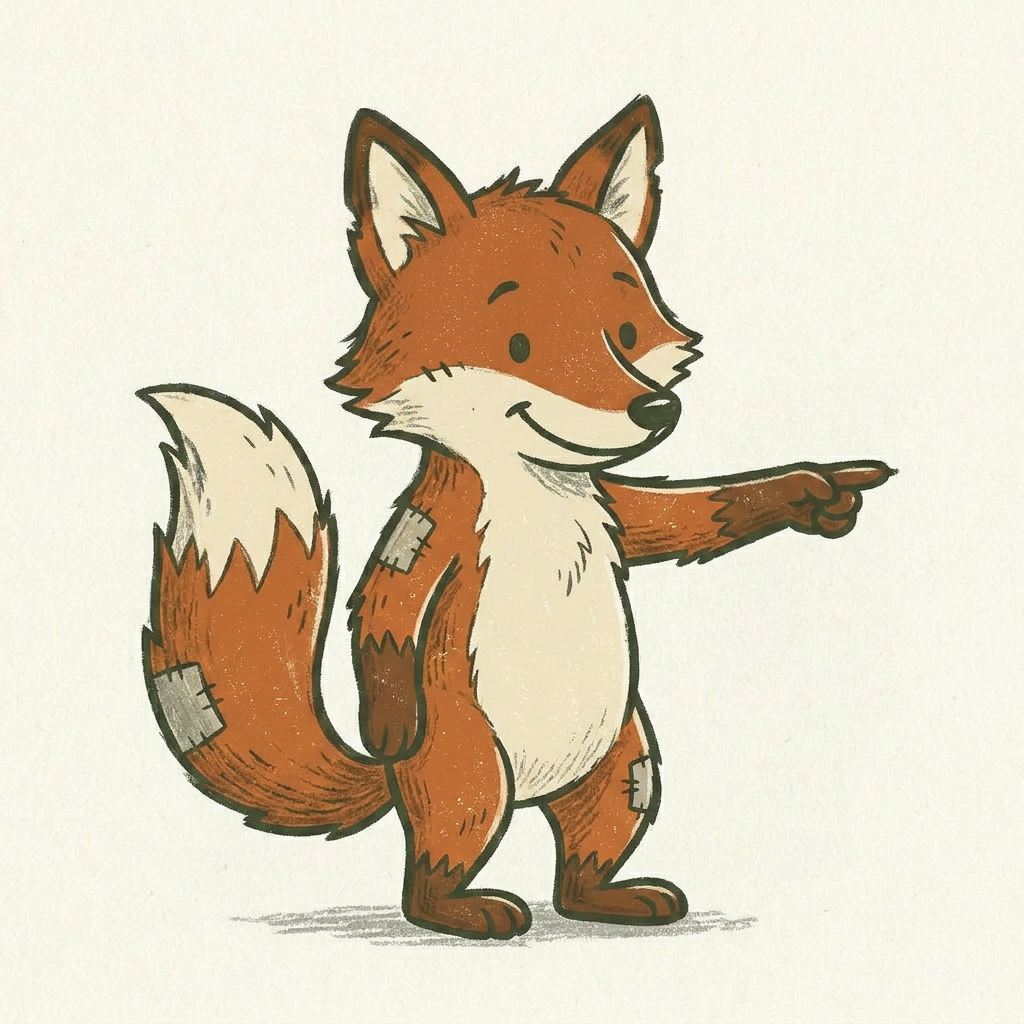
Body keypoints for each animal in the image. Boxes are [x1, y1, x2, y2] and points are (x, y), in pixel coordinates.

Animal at [140, 97, 894, 940]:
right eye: (522, 344)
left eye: (624, 334)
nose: (655, 408)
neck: (537, 488)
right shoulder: (431, 535)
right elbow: (382, 612)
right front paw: (388, 719)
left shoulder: (613, 507)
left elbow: (697, 514)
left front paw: (814, 489)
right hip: (471, 776)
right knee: (429, 879)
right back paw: (468, 908)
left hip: (624, 768)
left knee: (579, 870)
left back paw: (614, 899)